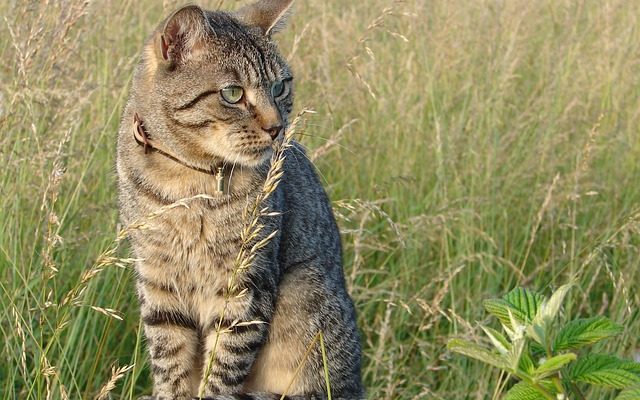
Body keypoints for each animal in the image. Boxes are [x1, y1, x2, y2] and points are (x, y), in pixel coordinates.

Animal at [116, 1, 364, 398]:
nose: (276, 127)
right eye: (232, 94)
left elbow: (222, 372)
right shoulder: (158, 280)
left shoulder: (246, 285)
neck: (190, 184)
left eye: (280, 86)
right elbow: (170, 363)